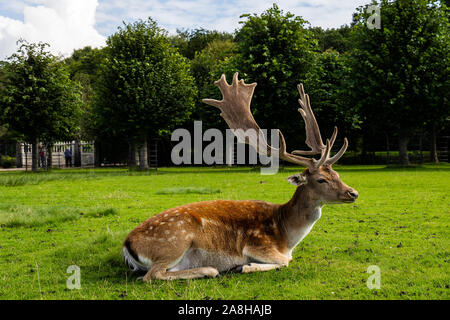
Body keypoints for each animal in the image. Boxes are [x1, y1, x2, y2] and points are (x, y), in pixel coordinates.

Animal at [123, 72, 358, 280]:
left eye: (337, 173)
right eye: (321, 180)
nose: (353, 193)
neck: (287, 236)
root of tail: (126, 244)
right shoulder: (256, 244)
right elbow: (285, 261)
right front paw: (245, 267)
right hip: (175, 241)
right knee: (151, 275)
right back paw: (211, 270)